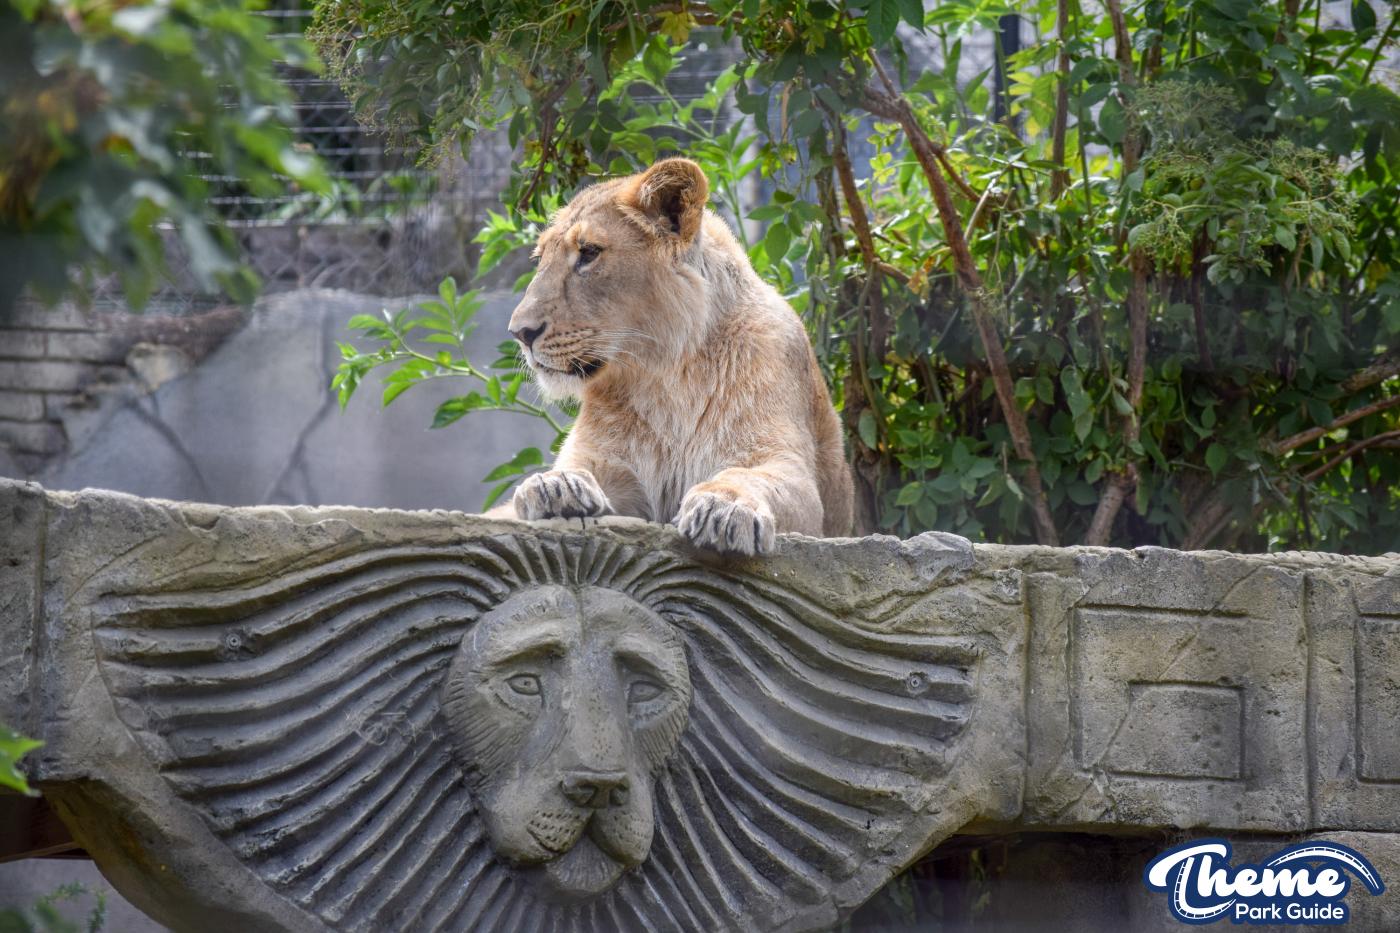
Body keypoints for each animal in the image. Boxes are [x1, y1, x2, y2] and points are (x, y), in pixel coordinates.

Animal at [496, 157, 853, 555]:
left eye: (588, 252)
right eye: (540, 259)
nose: (520, 333)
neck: (667, 374)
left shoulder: (787, 469)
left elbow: (748, 476)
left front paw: (723, 507)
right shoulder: (613, 466)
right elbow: (577, 471)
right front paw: (553, 485)